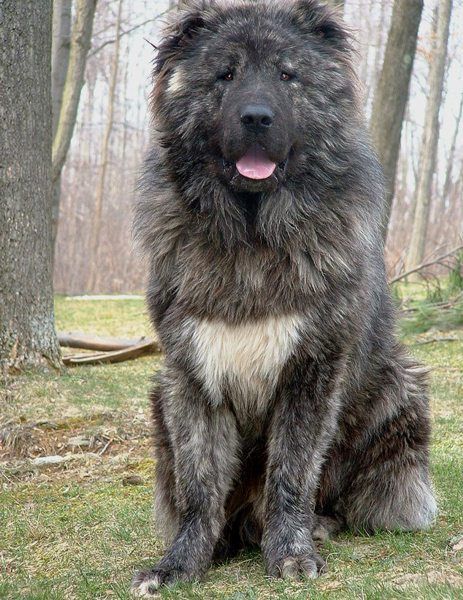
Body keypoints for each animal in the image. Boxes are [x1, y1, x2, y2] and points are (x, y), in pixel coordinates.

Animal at [131, 0, 438, 592]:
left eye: (288, 75)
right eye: (225, 75)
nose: (256, 117)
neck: (251, 237)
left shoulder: (312, 368)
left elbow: (292, 471)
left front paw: (292, 551)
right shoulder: (191, 374)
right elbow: (199, 486)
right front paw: (182, 561)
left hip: (400, 387)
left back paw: (319, 525)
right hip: (159, 398)